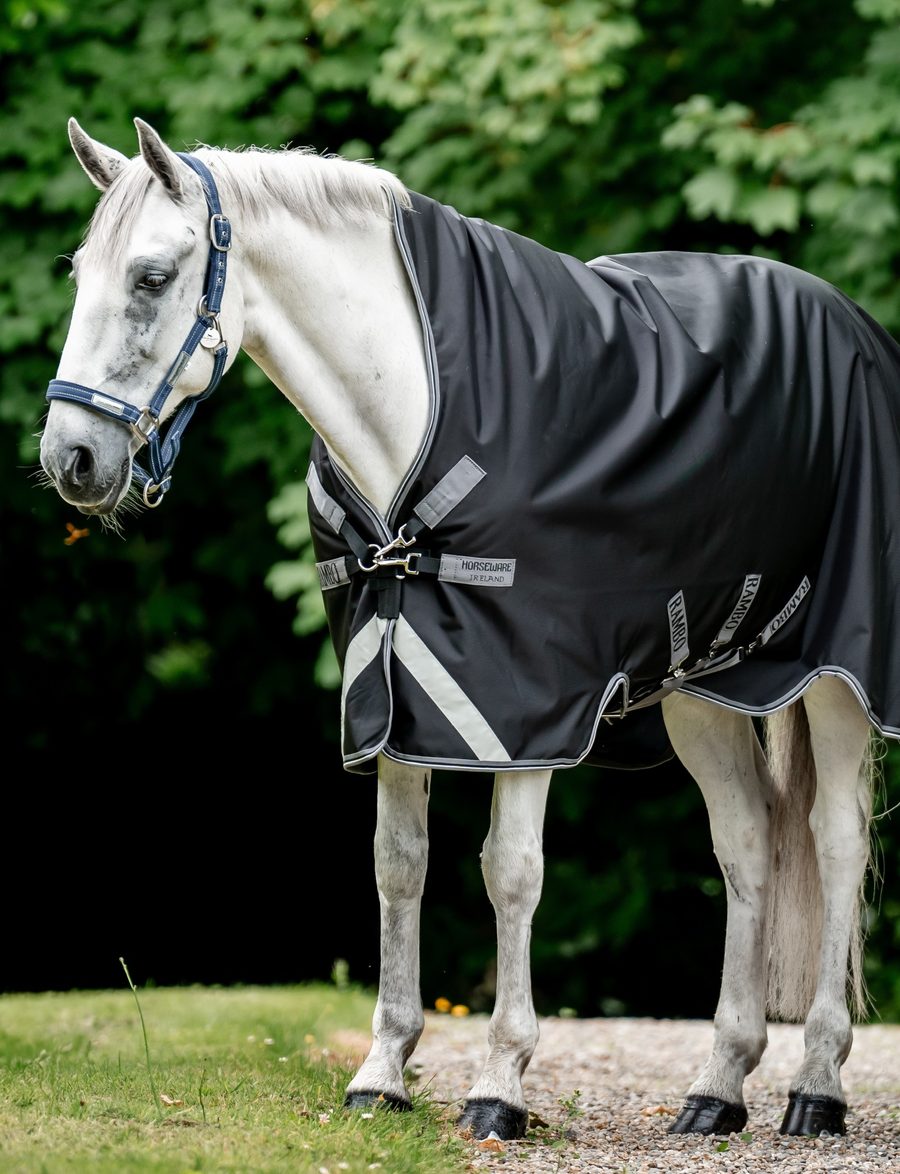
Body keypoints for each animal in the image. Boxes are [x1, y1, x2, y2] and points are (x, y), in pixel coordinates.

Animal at [39, 116, 899, 1143]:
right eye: (81, 273)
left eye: (152, 277)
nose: (70, 458)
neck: (413, 409)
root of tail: (853, 325)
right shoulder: (390, 687)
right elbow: (399, 866)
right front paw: (383, 1071)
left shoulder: (526, 705)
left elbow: (511, 872)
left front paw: (500, 1082)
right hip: (704, 687)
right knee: (747, 845)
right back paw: (716, 1087)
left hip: (838, 676)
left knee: (834, 840)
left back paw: (817, 1085)